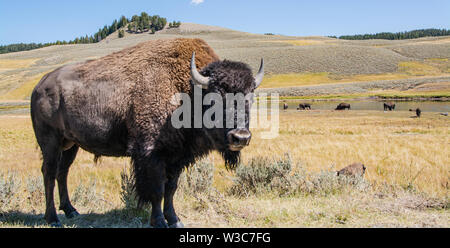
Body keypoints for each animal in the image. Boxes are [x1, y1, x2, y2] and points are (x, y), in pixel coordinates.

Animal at [29, 37, 266, 228]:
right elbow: (157, 190)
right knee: (49, 173)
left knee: (63, 172)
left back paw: (71, 211)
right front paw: (159, 221)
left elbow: (171, 189)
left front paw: (175, 220)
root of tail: (40, 86)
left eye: (250, 96)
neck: (186, 92)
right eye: (216, 96)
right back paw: (53, 218)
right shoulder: (151, 153)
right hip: (50, 142)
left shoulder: (177, 157)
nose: (240, 137)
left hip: (71, 145)